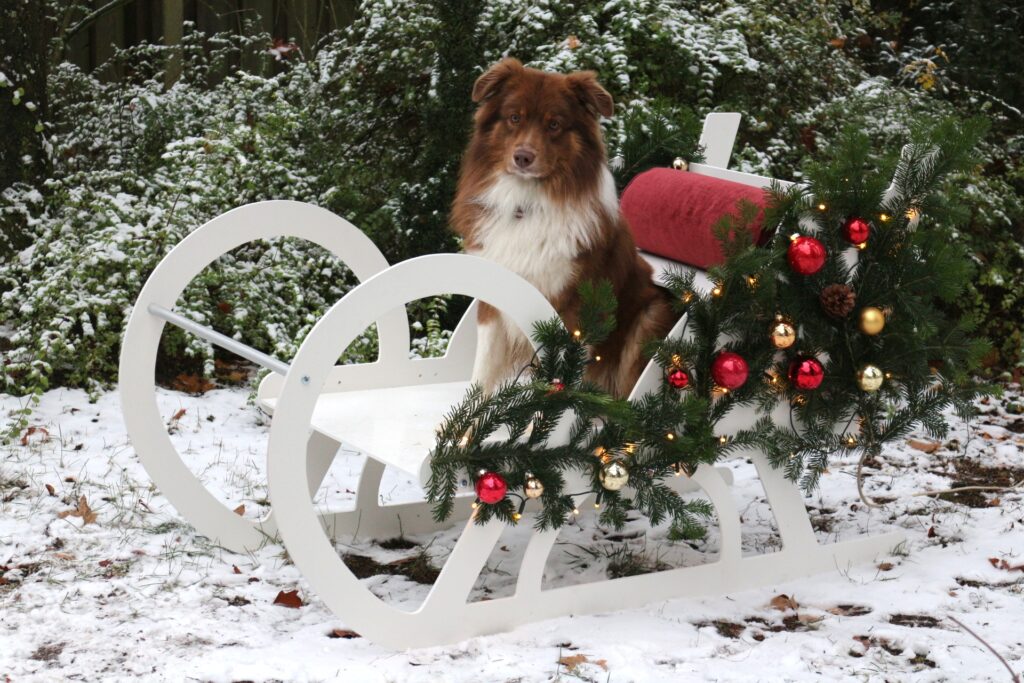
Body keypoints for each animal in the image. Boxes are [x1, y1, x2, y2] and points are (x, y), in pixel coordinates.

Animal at [452, 60, 675, 401]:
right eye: (514, 117)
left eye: (554, 124)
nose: (523, 157)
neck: (527, 205)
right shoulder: (494, 300)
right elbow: (483, 368)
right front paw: (470, 415)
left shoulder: (572, 310)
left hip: (651, 316)